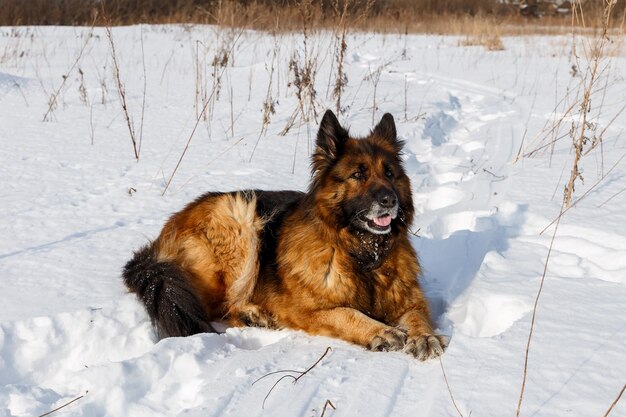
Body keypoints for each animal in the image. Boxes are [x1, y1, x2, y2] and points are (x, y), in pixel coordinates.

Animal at [122, 111, 444, 360]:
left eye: (389, 173)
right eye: (358, 175)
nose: (390, 200)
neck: (360, 252)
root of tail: (160, 238)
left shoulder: (410, 298)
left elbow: (417, 315)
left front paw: (425, 336)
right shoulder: (307, 311)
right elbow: (345, 313)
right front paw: (380, 330)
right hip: (241, 216)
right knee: (220, 305)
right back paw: (254, 314)